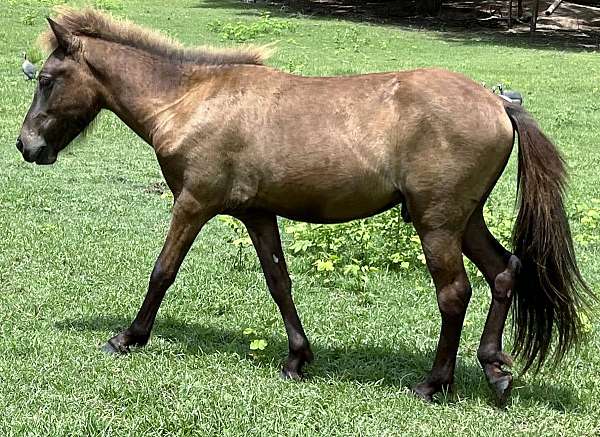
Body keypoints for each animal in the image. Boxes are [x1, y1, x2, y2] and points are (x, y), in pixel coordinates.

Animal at [16, 7, 592, 406]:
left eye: (46, 80)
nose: (27, 146)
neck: (192, 100)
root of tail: (499, 102)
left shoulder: (193, 203)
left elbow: (163, 271)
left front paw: (128, 337)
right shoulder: (257, 213)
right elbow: (279, 282)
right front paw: (297, 358)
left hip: (438, 223)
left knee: (455, 293)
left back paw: (434, 384)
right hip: (465, 220)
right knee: (504, 272)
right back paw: (495, 370)